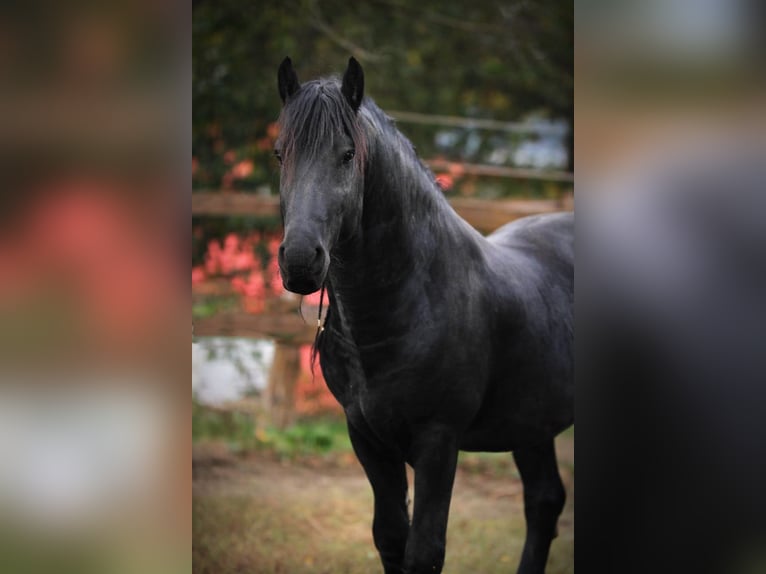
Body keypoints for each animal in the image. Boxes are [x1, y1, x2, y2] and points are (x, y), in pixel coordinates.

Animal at [278, 57, 576, 574]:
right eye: (280, 155)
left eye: (347, 155)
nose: (299, 261)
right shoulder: (367, 437)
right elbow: (390, 538)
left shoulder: (438, 441)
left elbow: (424, 551)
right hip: (533, 421)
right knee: (544, 502)